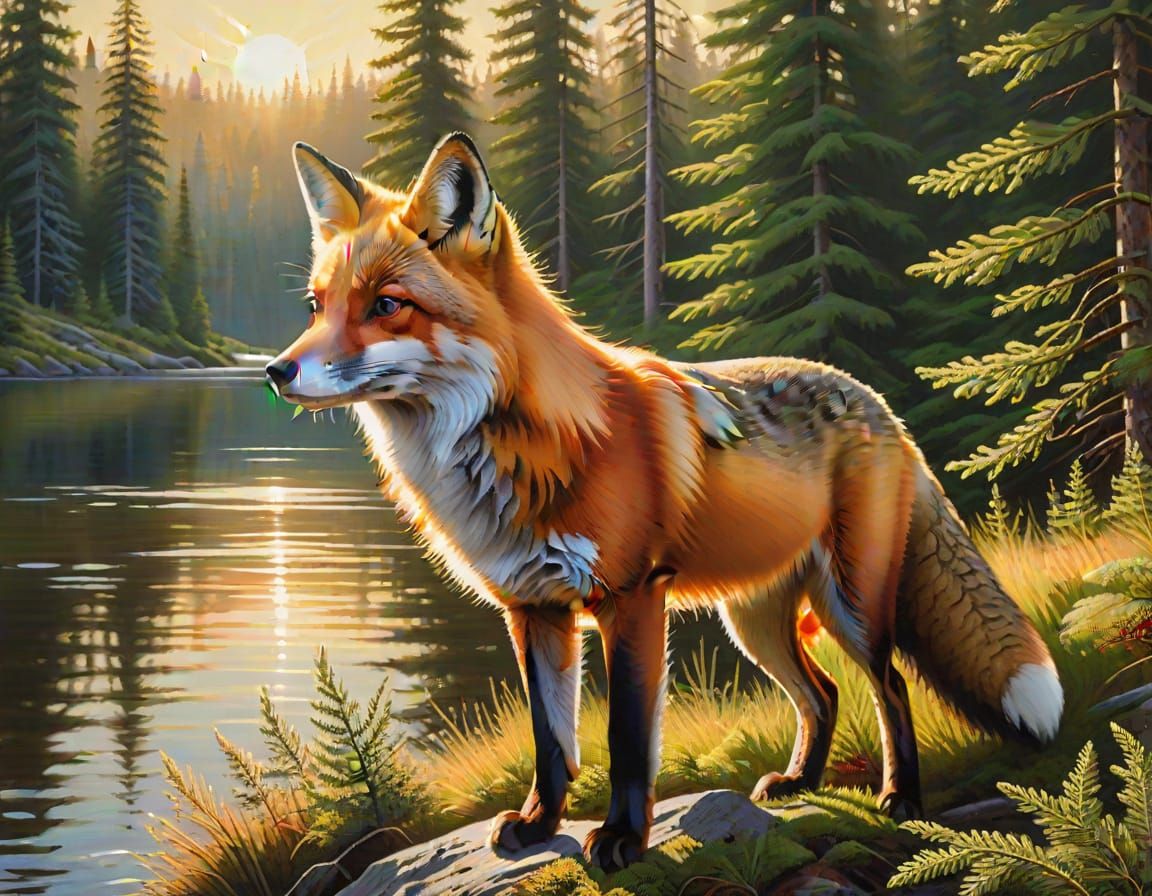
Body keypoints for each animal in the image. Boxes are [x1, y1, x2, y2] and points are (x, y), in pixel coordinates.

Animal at [266, 133, 1064, 871]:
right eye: (316, 306)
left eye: (386, 307)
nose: (277, 371)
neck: (531, 446)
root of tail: (873, 399)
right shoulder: (534, 608)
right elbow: (552, 739)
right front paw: (539, 825)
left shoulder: (632, 597)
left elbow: (626, 739)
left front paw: (622, 838)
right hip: (754, 622)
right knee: (824, 694)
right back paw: (801, 783)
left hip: (854, 605)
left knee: (891, 687)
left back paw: (900, 797)